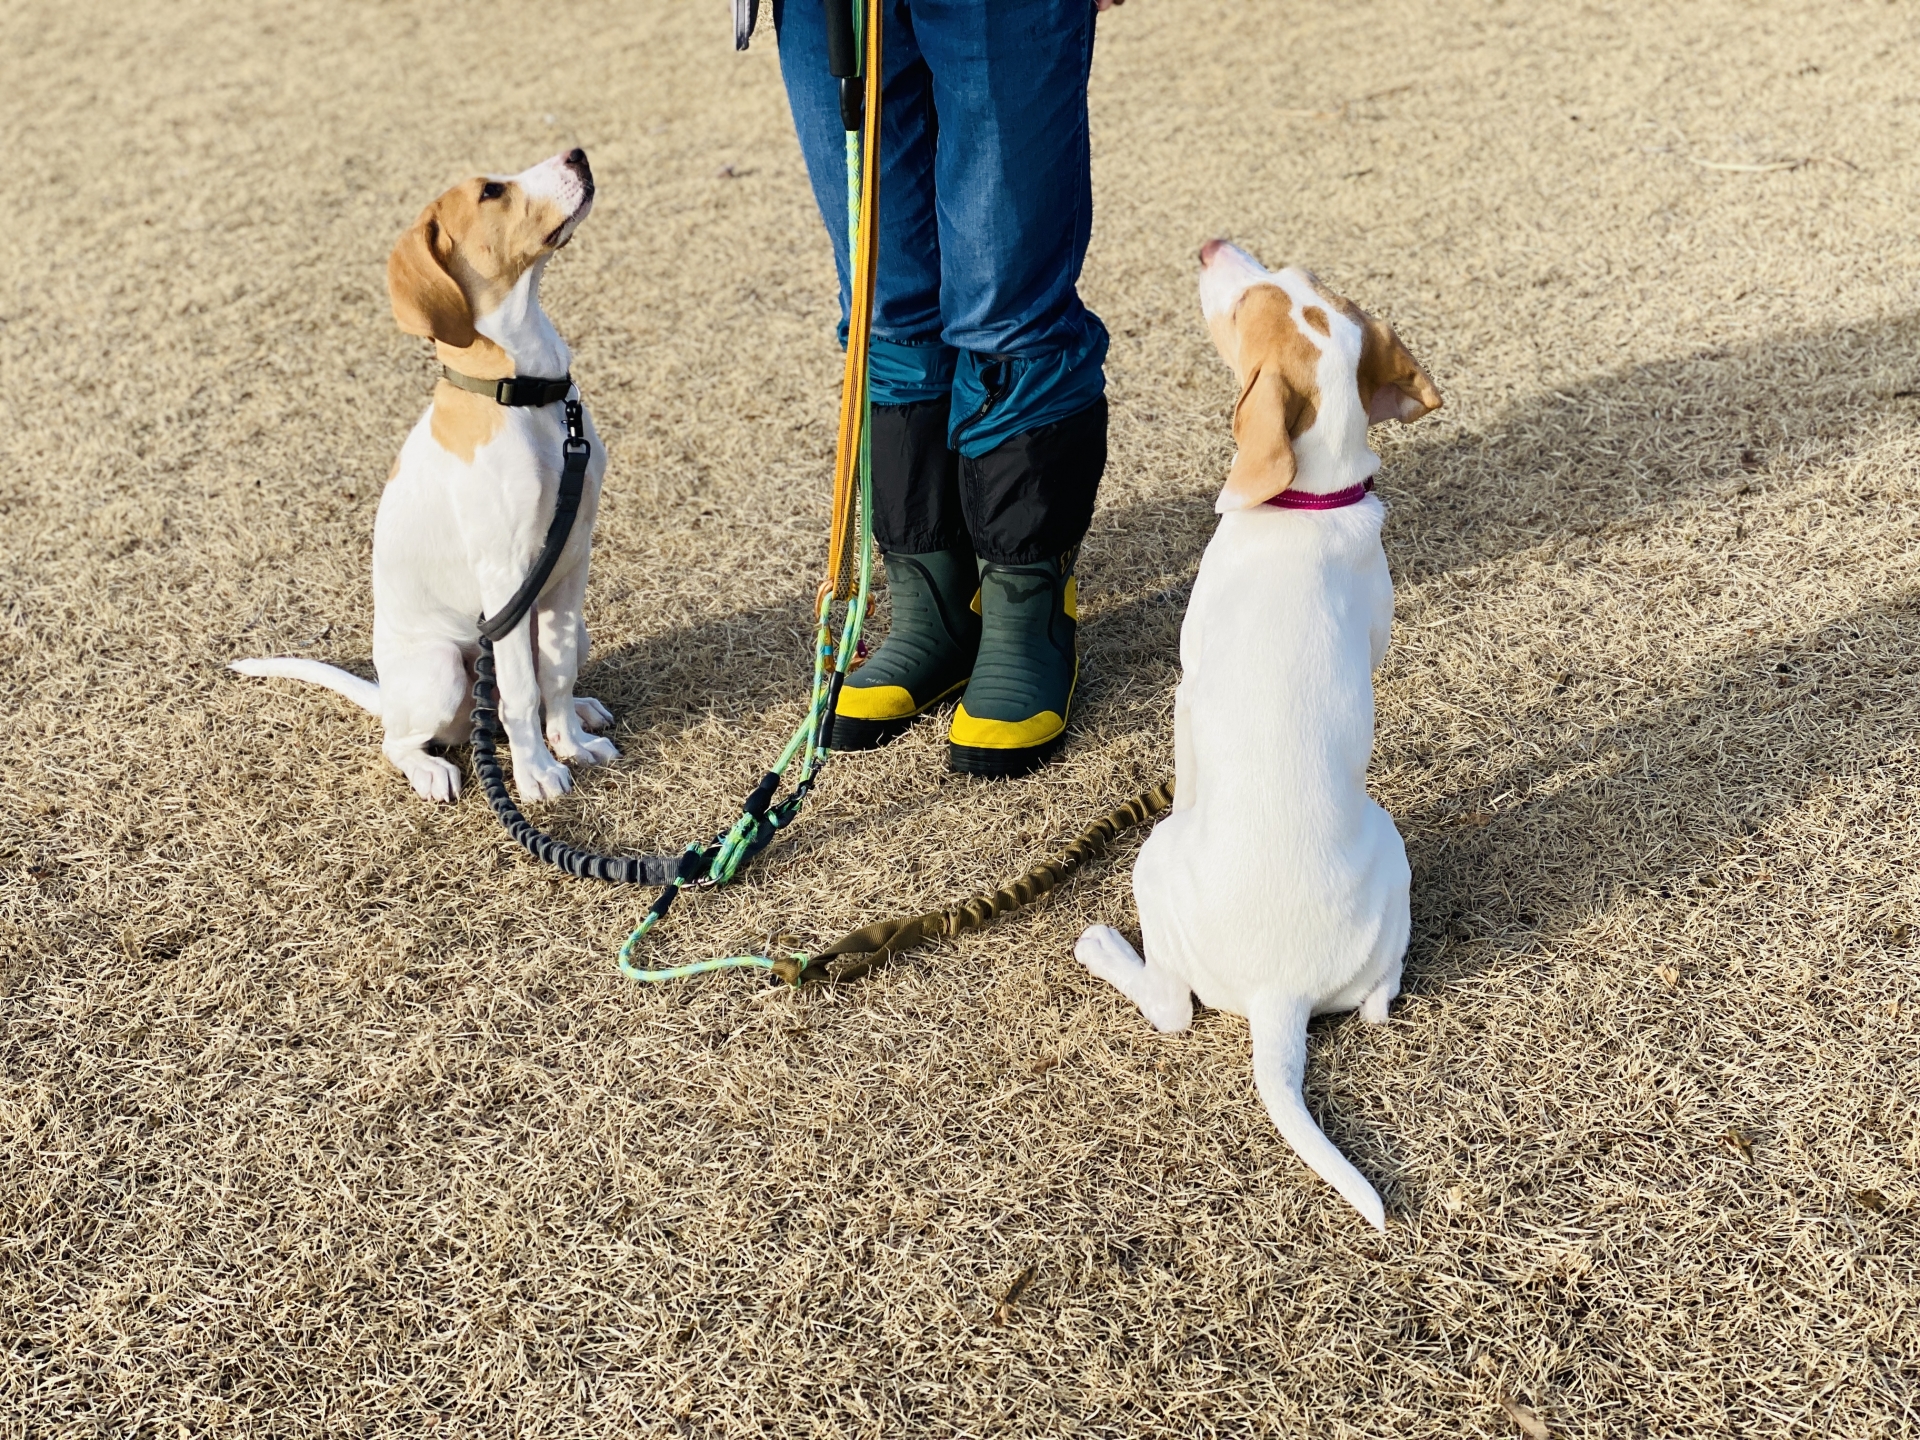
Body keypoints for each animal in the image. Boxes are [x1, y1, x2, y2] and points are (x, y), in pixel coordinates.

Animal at [234, 150, 614, 806]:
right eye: (492, 192)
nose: (577, 154)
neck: (522, 394)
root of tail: (388, 693)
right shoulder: (506, 574)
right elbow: (522, 693)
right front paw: (536, 772)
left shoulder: (571, 560)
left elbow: (557, 668)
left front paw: (570, 742)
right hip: (440, 669)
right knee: (404, 739)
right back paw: (431, 769)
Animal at [1082, 242, 1443, 1236]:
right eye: (1294, 278)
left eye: (1248, 305)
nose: (1211, 245)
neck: (1307, 502)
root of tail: (1282, 999)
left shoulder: (1186, 689)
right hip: (1389, 858)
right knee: (1380, 1004)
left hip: (1154, 858)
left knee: (1170, 1006)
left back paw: (1104, 948)